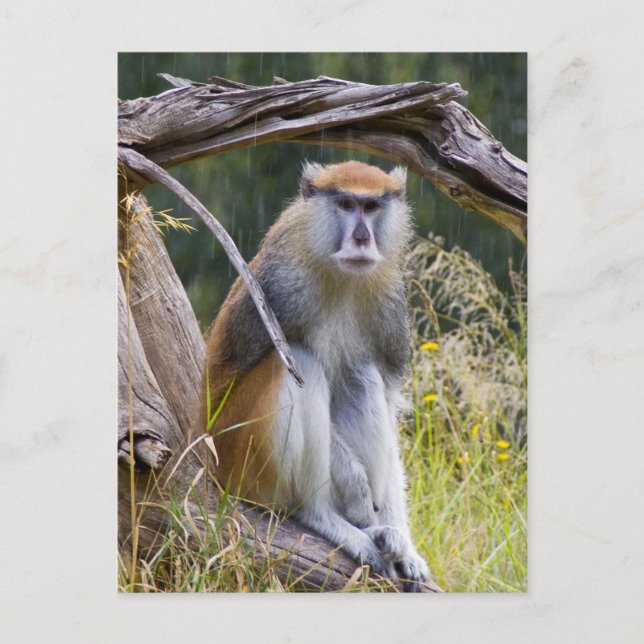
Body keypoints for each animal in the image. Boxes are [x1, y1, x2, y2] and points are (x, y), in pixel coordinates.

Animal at [203, 160, 429, 591]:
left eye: (371, 206)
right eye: (345, 204)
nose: (361, 238)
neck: (340, 274)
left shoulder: (389, 308)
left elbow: (388, 401)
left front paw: (405, 545)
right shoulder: (280, 288)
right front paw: (356, 489)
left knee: (362, 374)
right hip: (239, 460)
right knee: (300, 362)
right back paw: (321, 516)